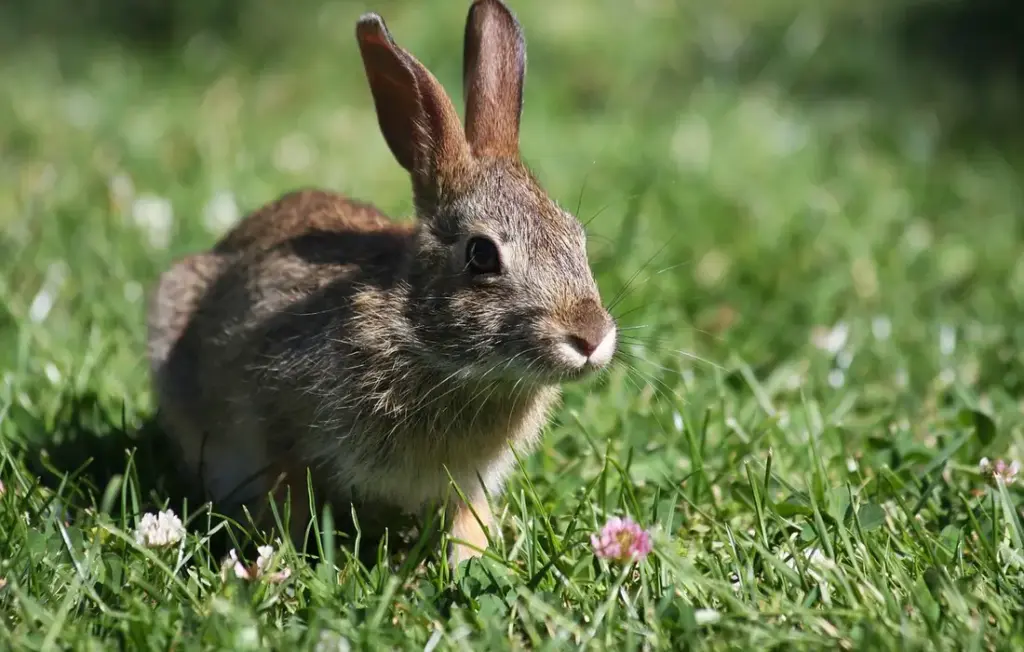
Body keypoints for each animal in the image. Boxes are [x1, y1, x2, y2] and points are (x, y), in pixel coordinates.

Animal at [146, 0, 617, 565]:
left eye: (577, 236)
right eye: (481, 255)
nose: (591, 338)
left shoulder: (471, 481)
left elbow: (469, 520)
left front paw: (470, 561)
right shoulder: (278, 427)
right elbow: (289, 496)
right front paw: (287, 557)